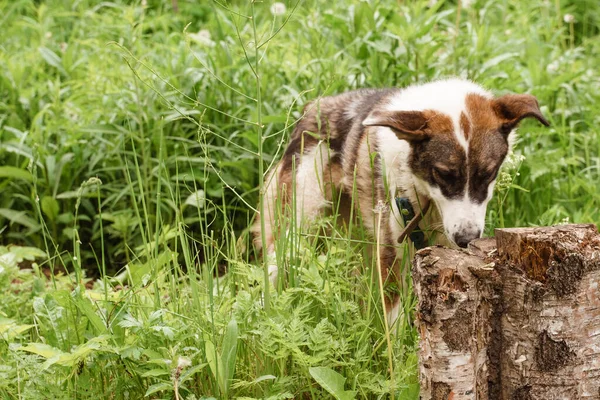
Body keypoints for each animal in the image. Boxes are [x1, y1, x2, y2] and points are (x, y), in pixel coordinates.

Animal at [251, 79, 552, 324]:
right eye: (443, 174)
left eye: (488, 174)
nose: (466, 239)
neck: (425, 199)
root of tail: (314, 106)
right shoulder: (392, 252)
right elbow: (394, 319)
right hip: (299, 224)